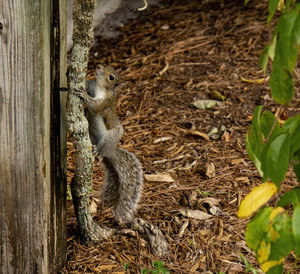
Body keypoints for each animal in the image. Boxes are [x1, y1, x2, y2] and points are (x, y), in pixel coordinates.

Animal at [76, 65, 144, 224]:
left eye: (111, 77)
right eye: (106, 66)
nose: (98, 67)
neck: (100, 87)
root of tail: (111, 151)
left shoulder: (106, 101)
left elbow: (95, 107)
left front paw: (85, 95)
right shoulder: (93, 86)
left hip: (110, 137)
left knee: (102, 150)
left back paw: (97, 151)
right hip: (91, 132)